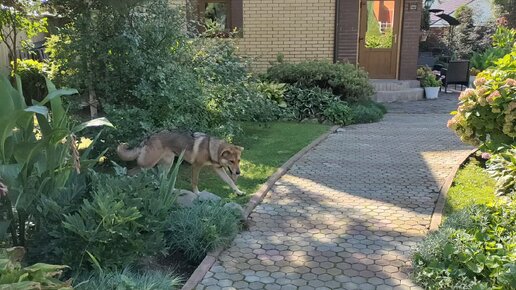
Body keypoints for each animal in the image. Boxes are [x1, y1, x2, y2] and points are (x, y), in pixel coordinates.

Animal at [117, 131, 246, 195]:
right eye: (231, 161)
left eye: (239, 160)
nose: (238, 173)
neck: (211, 149)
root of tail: (148, 138)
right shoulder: (196, 166)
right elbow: (195, 181)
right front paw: (197, 193)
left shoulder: (218, 169)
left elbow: (230, 182)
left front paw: (239, 192)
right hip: (147, 164)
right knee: (130, 172)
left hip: (167, 164)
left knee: (161, 177)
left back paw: (170, 190)